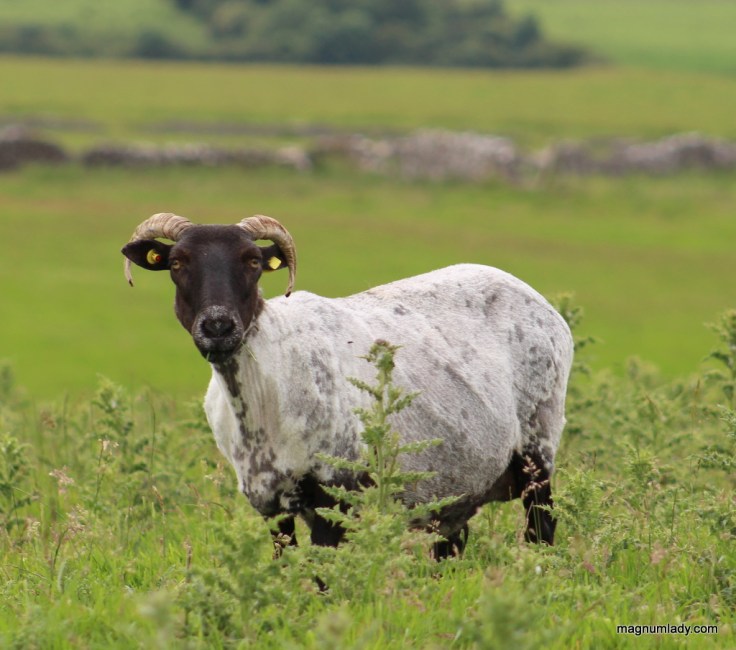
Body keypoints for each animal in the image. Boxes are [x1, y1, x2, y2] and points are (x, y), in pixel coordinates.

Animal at [122, 212, 574, 554]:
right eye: (177, 264)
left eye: (252, 262)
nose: (218, 326)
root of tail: (539, 301)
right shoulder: (271, 504)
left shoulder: (334, 495)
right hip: (456, 483)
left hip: (538, 442)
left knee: (541, 530)